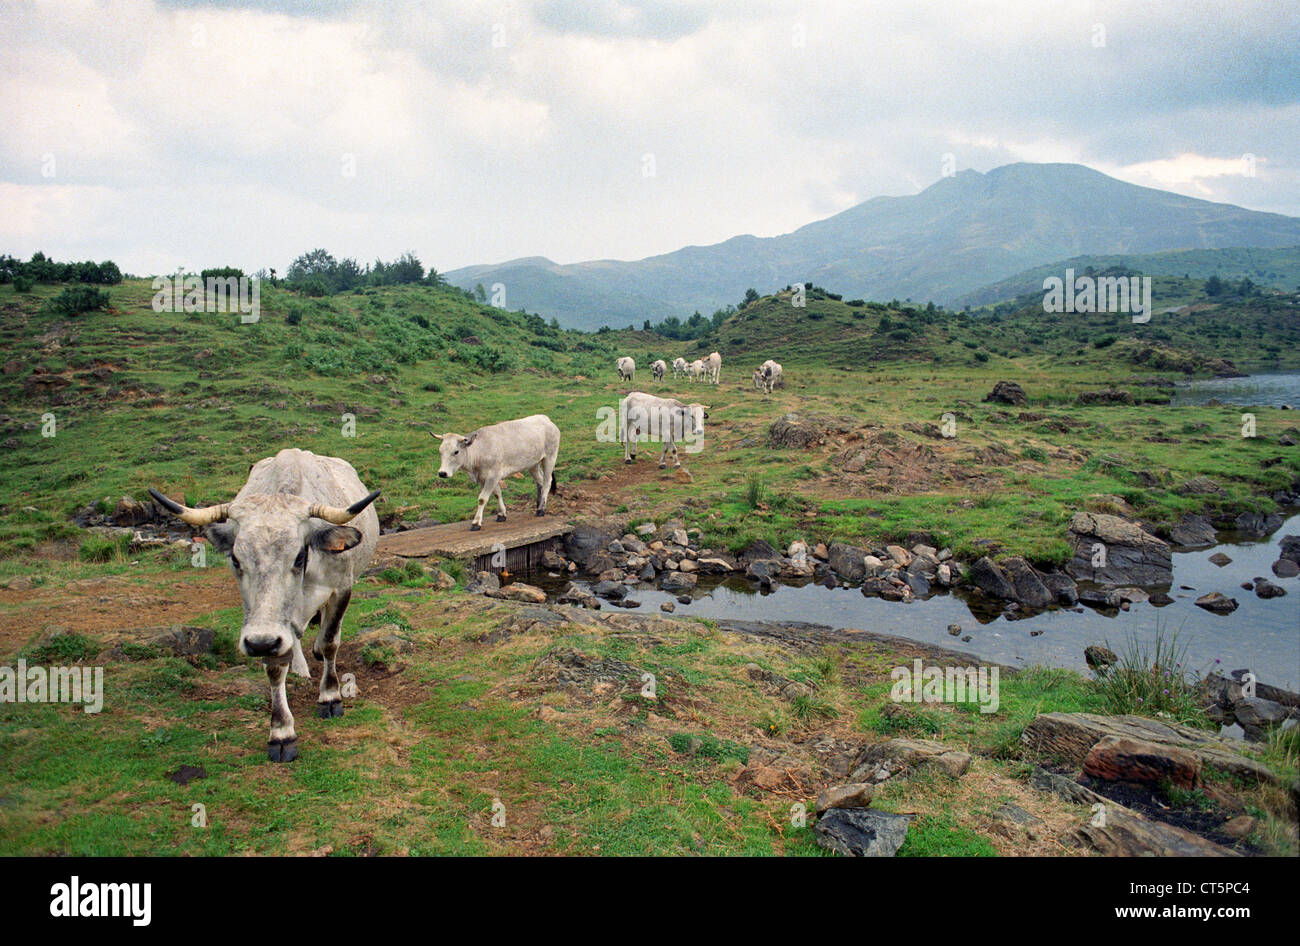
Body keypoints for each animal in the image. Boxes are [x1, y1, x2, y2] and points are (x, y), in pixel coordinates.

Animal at [148, 449, 381, 762]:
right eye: (236, 559)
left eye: (298, 557)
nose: (260, 643)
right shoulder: (264, 622)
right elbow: (275, 664)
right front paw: (281, 732)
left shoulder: (341, 587)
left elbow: (331, 641)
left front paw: (330, 696)